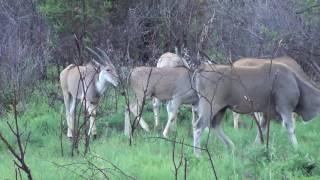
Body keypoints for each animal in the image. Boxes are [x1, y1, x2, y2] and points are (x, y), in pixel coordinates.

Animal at [192, 62, 320, 155]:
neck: (296, 82)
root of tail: (203, 68)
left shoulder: (267, 113)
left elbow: (261, 130)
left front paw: (255, 148)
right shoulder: (285, 108)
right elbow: (290, 128)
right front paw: (297, 148)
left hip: (221, 109)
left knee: (215, 125)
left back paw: (231, 146)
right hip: (211, 106)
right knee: (199, 126)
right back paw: (197, 155)